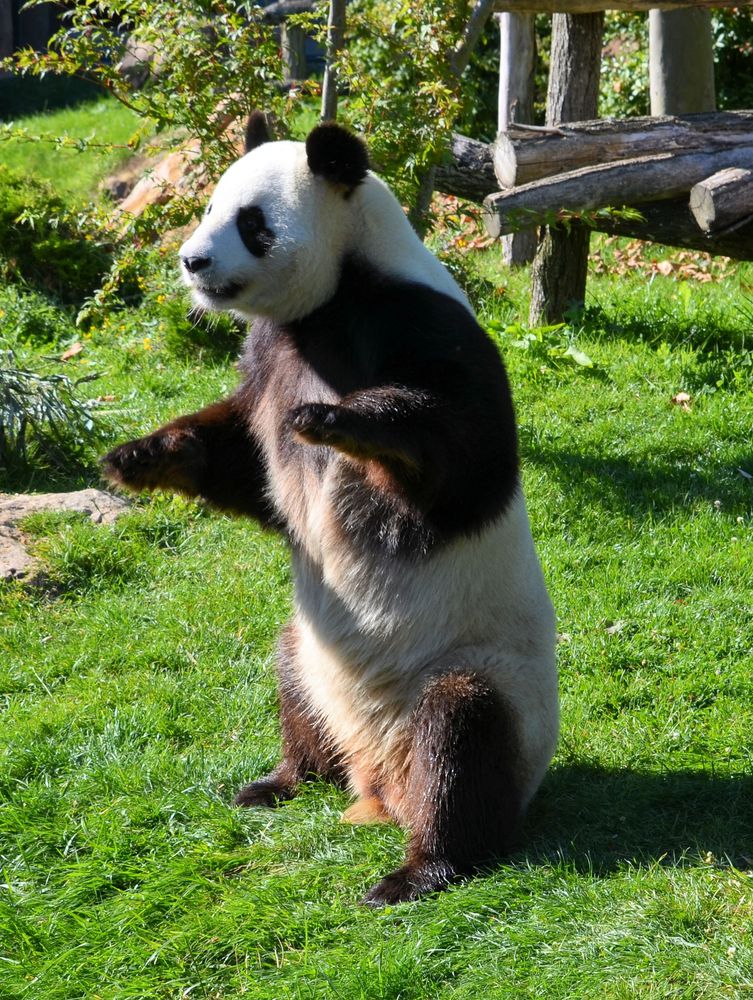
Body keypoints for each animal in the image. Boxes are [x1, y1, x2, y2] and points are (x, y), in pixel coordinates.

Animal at [103, 115, 556, 908]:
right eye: (210, 205)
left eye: (250, 223)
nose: (192, 261)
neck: (329, 299)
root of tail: (379, 782)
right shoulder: (266, 356)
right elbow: (242, 461)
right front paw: (143, 457)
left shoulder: (417, 321)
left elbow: (464, 446)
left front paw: (336, 422)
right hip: (314, 656)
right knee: (292, 682)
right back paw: (281, 779)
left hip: (482, 673)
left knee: (462, 739)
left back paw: (419, 869)